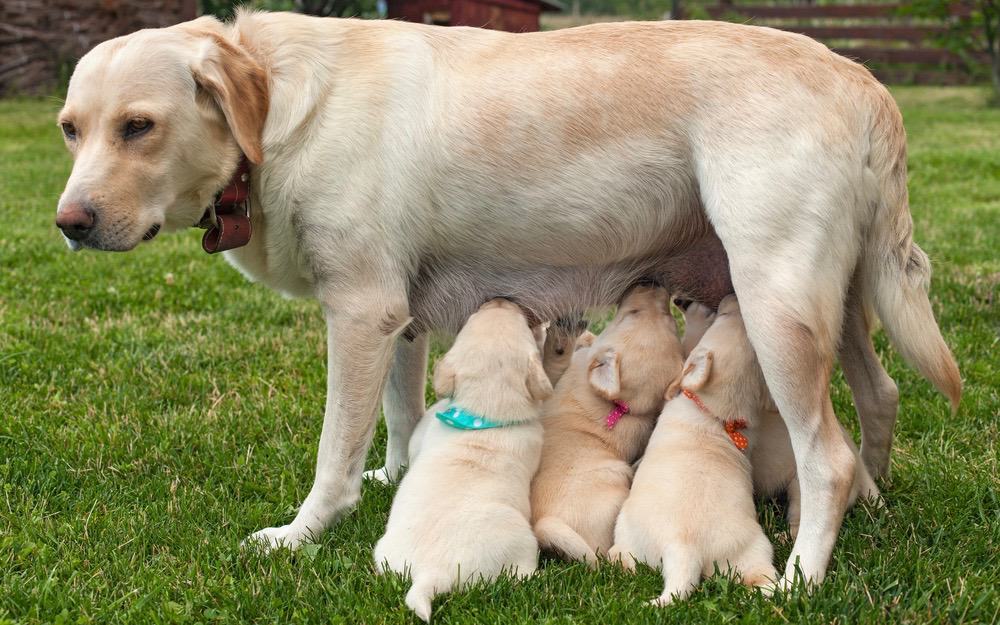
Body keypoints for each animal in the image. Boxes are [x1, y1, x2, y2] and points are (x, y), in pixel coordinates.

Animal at [374, 298, 552, 620]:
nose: (499, 299)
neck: (482, 410)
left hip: (385, 555)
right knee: (521, 573)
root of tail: (430, 574)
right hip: (522, 541)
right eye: (520, 321)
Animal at [608, 294, 780, 604]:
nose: (732, 296)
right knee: (761, 576)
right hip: (753, 551)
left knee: (622, 556)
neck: (716, 414)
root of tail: (684, 550)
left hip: (626, 528)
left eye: (721, 316)